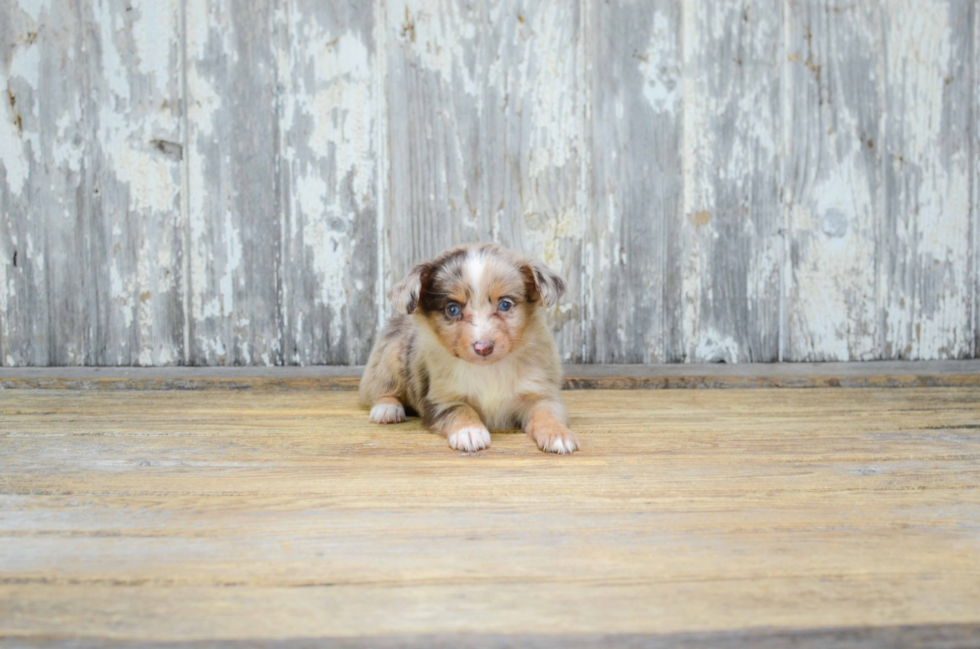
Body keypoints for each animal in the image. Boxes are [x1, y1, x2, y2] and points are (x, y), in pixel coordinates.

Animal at [360, 246, 580, 454]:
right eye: (453, 309)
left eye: (505, 305)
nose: (483, 347)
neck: (488, 369)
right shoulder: (441, 399)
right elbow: (461, 409)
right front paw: (469, 431)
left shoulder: (540, 393)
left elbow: (547, 414)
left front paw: (558, 434)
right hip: (389, 355)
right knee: (380, 388)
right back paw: (387, 408)